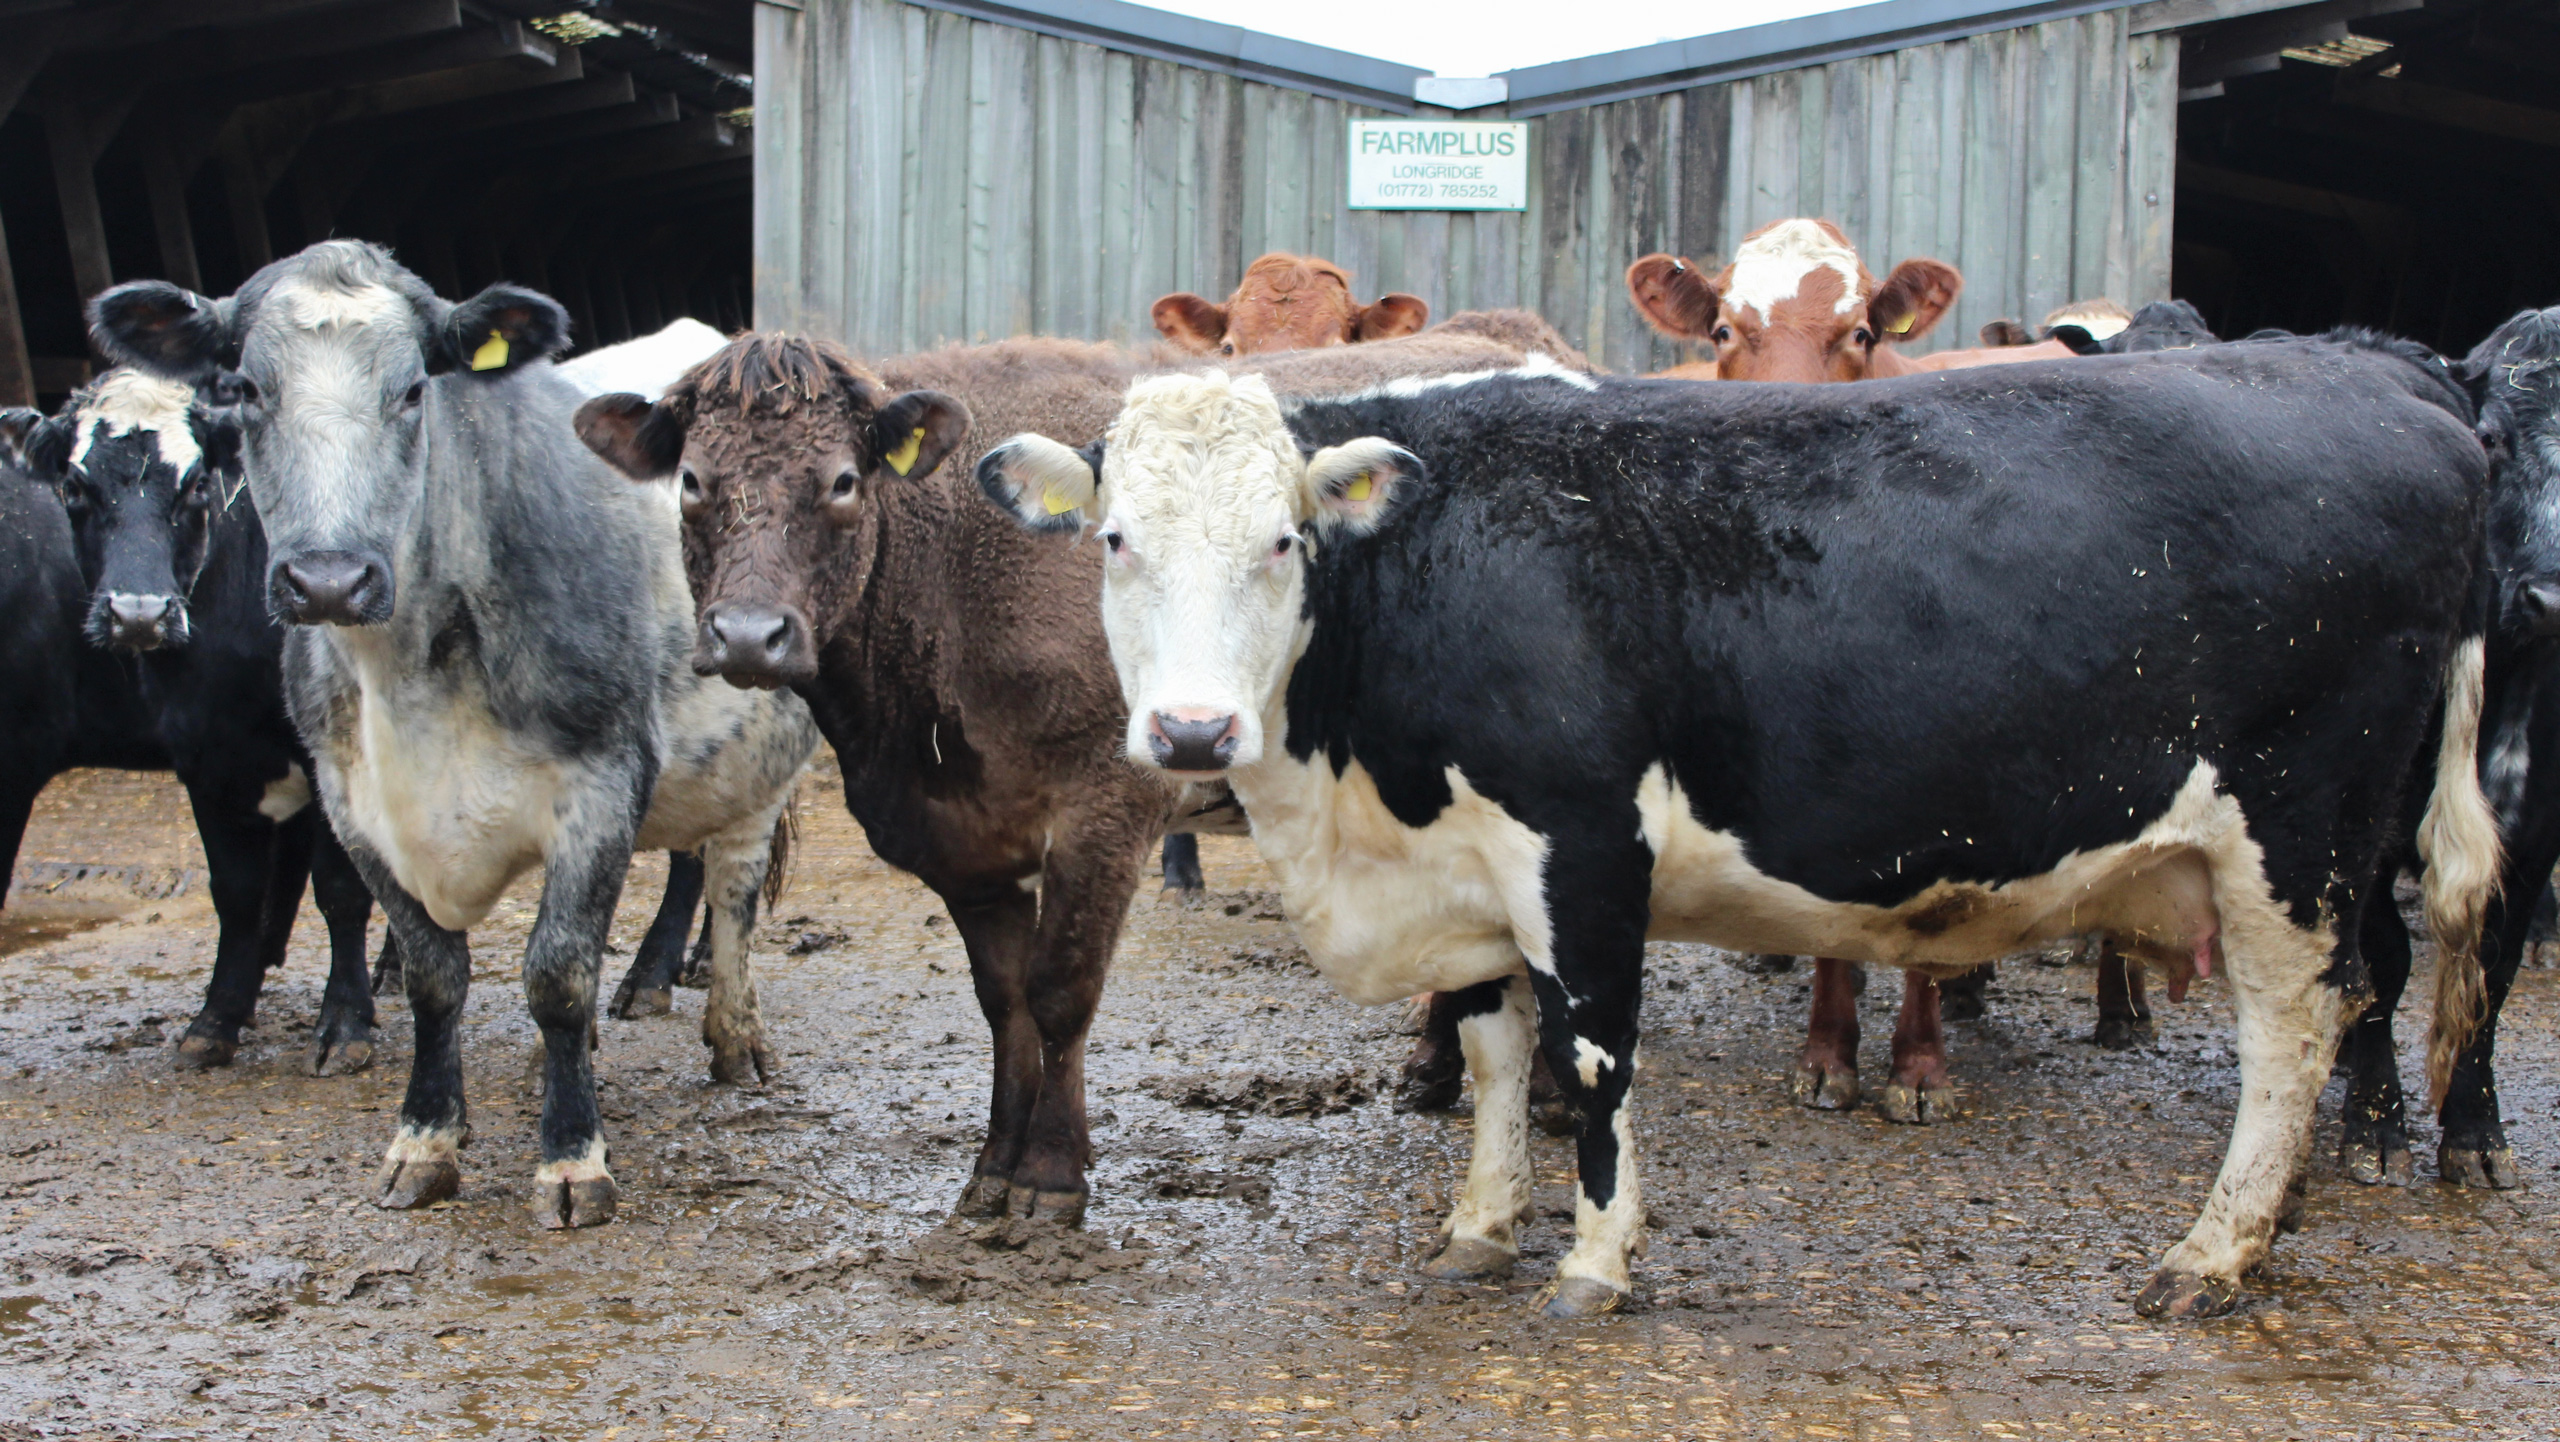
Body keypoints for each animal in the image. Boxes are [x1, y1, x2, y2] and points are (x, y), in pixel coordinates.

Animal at [94, 245, 814, 1229]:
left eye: (411, 391)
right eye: (243, 388)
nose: (329, 579)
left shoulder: (602, 780)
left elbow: (556, 972)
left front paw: (572, 1156)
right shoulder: (353, 806)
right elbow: (434, 973)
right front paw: (428, 1138)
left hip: (756, 750)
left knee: (730, 881)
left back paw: (730, 1032)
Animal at [977, 335, 2498, 1321]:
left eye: (1283, 540)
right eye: (1114, 538)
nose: (1191, 736)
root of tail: (2377, 369)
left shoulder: (1581, 838)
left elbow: (1591, 1058)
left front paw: (1595, 1264)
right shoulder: (1467, 864)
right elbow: (1491, 1046)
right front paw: (1477, 1230)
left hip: (2296, 834)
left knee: (2297, 1028)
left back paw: (2217, 1251)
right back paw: (2275, 1220)